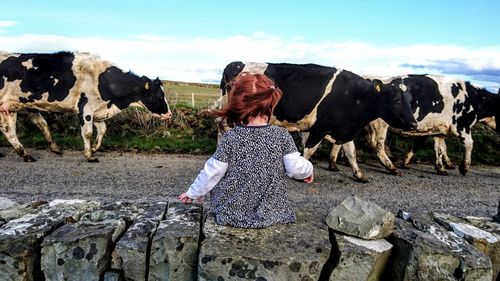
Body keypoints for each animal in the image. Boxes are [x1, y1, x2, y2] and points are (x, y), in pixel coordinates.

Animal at [0, 51, 172, 161]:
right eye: (159, 95)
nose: (169, 114)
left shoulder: (98, 111)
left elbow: (103, 130)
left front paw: (95, 148)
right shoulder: (86, 108)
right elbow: (88, 133)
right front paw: (90, 155)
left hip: (11, 107)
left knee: (13, 129)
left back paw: (31, 152)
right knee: (10, 130)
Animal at [220, 60, 418, 182]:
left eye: (410, 101)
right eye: (396, 99)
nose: (414, 124)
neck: (356, 96)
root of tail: (235, 64)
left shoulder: (345, 127)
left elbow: (351, 152)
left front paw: (359, 175)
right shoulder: (320, 127)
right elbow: (309, 150)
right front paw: (301, 173)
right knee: (224, 129)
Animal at [328, 74, 500, 175]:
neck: (473, 99)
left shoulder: (438, 130)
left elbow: (439, 148)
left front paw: (440, 167)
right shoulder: (461, 125)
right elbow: (470, 144)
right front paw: (463, 168)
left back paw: (334, 164)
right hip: (380, 124)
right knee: (377, 144)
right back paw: (391, 167)